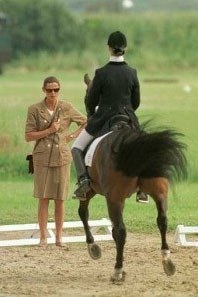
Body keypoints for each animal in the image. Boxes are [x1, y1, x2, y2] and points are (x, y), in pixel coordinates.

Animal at [76, 75, 187, 280]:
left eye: (87, 97)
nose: (87, 115)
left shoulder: (92, 189)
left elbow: (84, 213)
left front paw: (93, 247)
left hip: (113, 197)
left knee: (119, 231)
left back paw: (117, 271)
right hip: (159, 191)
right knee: (162, 220)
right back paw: (167, 262)